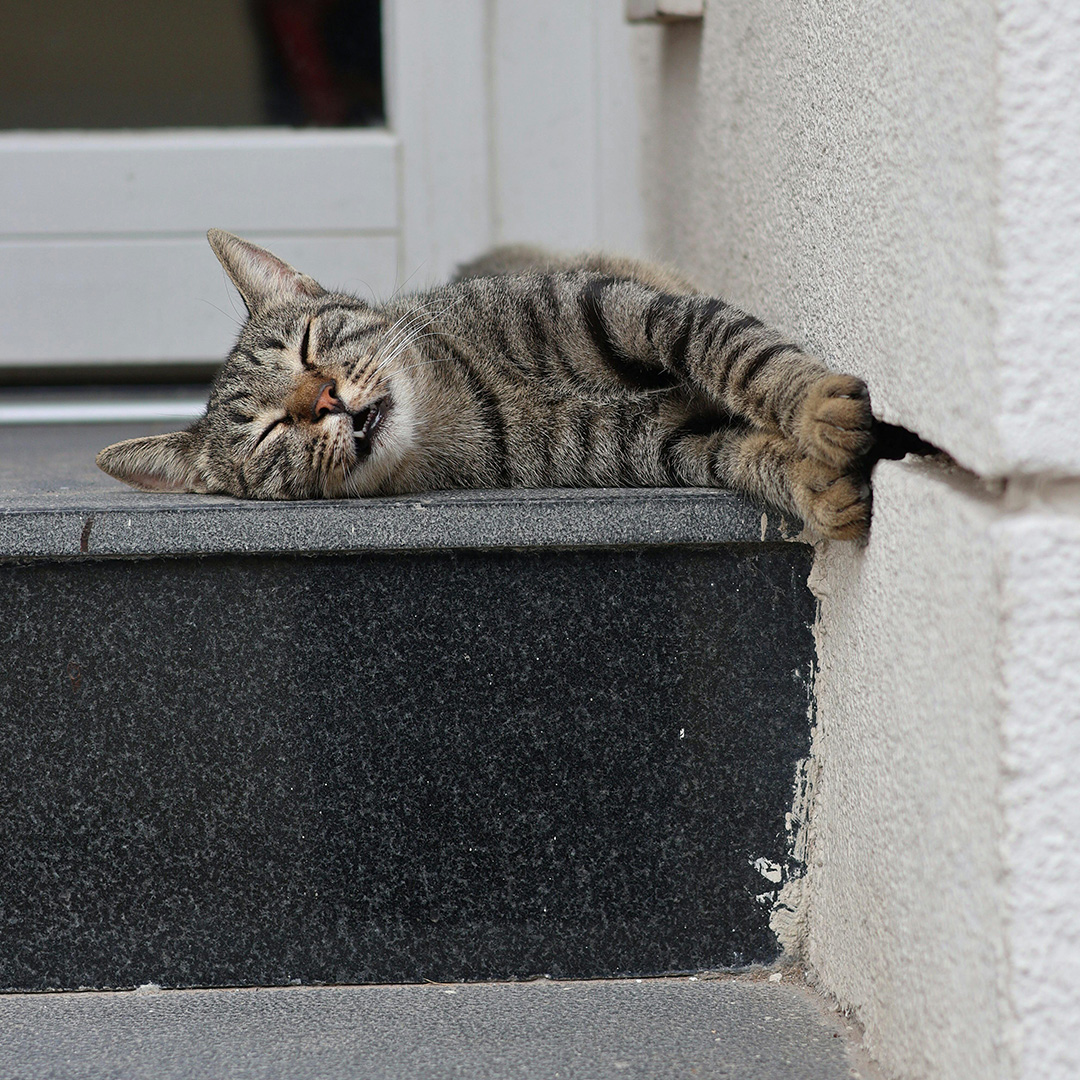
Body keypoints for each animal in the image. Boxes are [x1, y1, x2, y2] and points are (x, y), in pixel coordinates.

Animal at [97, 233, 876, 544]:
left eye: (309, 345)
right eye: (267, 434)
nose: (324, 401)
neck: (470, 398)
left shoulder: (627, 311)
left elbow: (740, 354)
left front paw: (815, 410)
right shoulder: (662, 444)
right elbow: (740, 455)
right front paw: (814, 484)